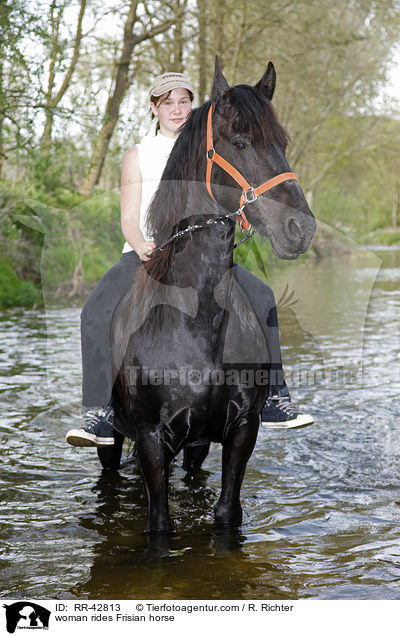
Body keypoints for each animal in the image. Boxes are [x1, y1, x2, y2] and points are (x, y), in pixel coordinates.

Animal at [108, 60, 318, 536]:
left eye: (282, 142)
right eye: (239, 142)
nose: (301, 229)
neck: (196, 319)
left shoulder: (241, 430)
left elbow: (225, 514)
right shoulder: (151, 440)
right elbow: (160, 522)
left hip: (198, 445)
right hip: (115, 439)